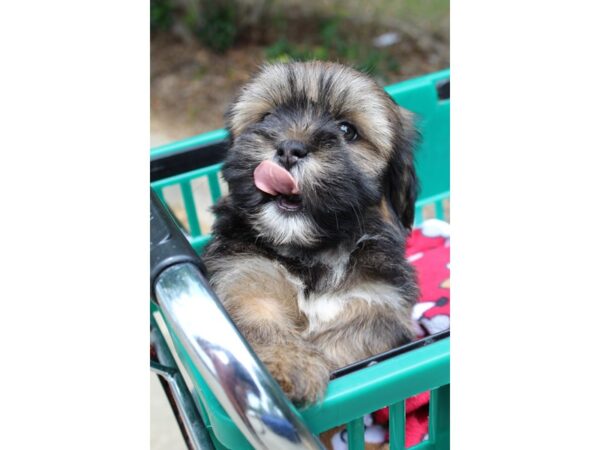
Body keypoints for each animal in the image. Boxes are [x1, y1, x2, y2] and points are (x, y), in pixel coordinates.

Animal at [204, 60, 420, 404]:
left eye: (346, 130)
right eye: (267, 117)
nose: (290, 149)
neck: (313, 254)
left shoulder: (379, 304)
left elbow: (351, 339)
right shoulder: (244, 273)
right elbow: (256, 317)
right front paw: (287, 364)